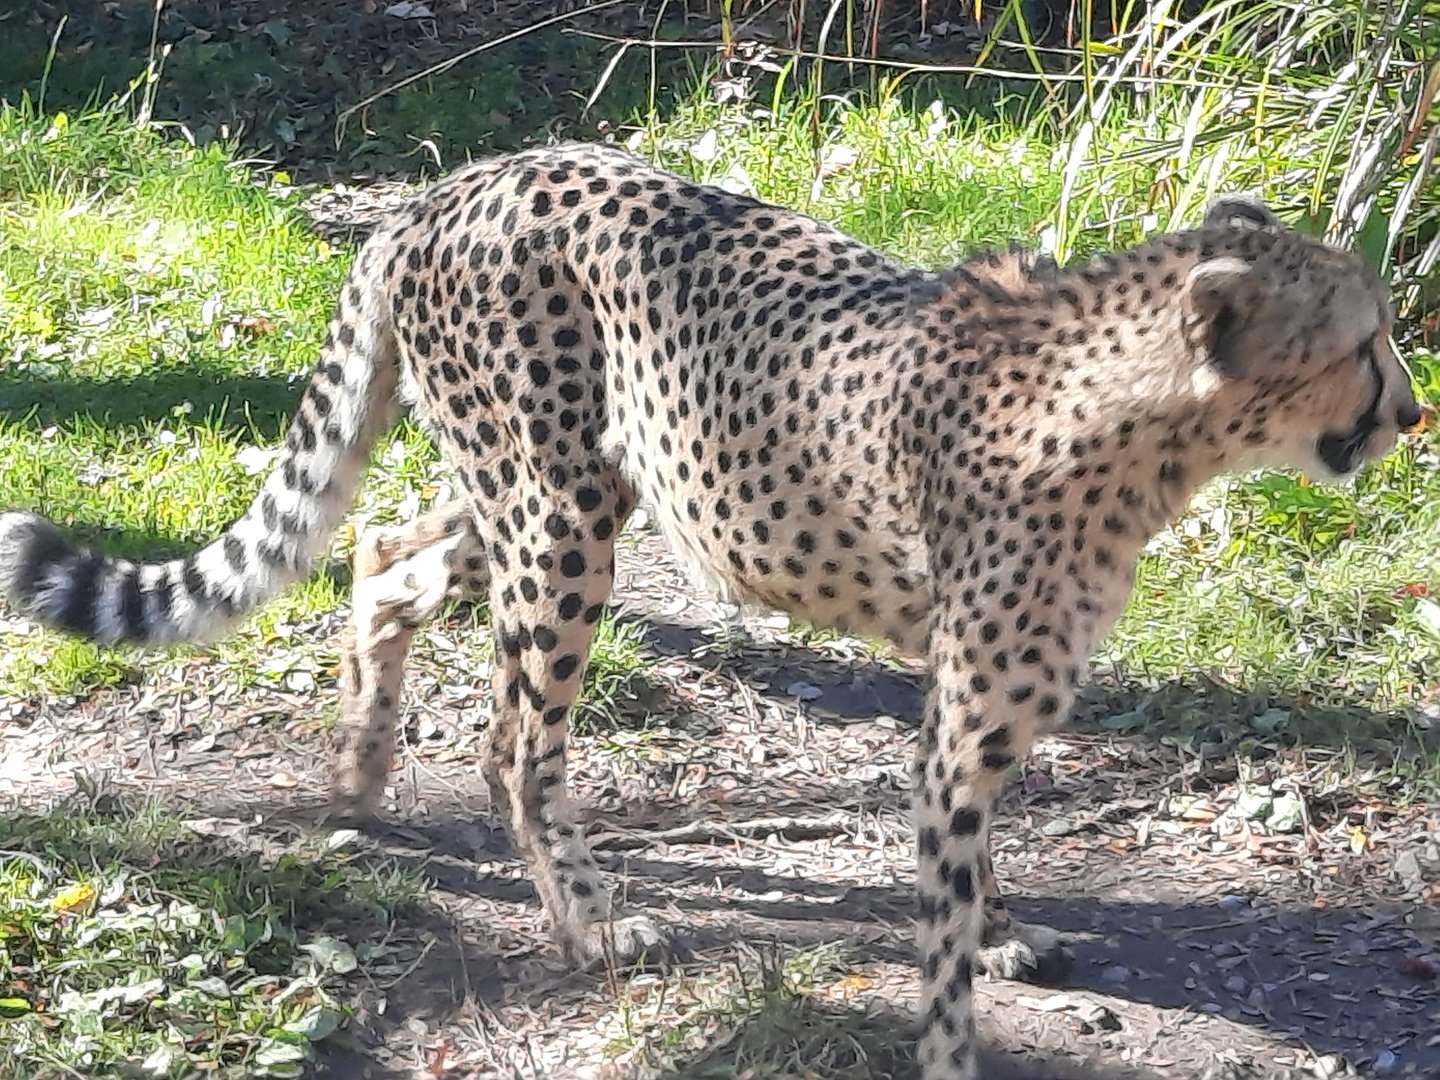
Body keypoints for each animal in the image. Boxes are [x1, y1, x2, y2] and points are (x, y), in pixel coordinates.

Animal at [0, 141, 1419, 1080]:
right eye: (1364, 342)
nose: (1413, 413)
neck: (1144, 420)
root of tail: (458, 182)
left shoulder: (973, 703)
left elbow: (980, 867)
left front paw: (1011, 932)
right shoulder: (964, 709)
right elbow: (942, 929)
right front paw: (957, 1034)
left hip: (545, 496)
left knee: (387, 554)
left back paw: (358, 769)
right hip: (559, 520)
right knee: (513, 742)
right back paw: (587, 920)